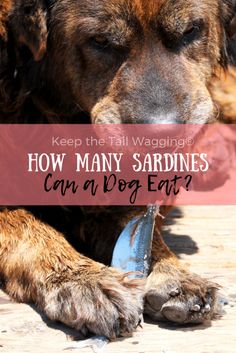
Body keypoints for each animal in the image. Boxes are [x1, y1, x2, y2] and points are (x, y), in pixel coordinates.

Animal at [0, 0, 236, 340]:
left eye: (190, 30)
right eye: (100, 41)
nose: (161, 136)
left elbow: (135, 220)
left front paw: (171, 272)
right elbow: (29, 230)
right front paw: (84, 280)